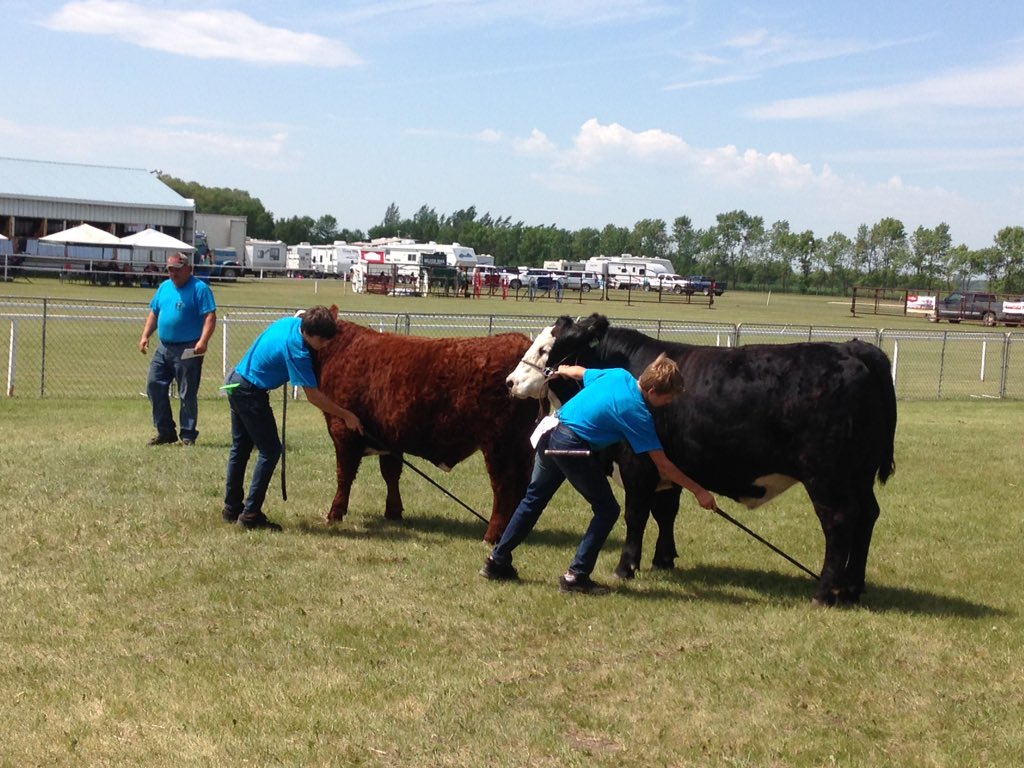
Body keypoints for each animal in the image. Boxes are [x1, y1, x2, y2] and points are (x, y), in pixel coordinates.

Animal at [316, 313, 538, 543]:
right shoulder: (390, 441)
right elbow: (391, 474)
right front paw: (393, 513)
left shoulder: (343, 431)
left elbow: (344, 475)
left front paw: (335, 513)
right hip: (522, 446)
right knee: (523, 484)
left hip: (498, 445)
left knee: (503, 486)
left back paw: (493, 535)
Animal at [505, 313, 897, 606]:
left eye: (545, 348)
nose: (510, 381)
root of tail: (853, 348)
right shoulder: (666, 468)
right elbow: (666, 512)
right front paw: (663, 560)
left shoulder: (637, 466)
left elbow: (636, 516)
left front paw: (625, 566)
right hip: (858, 475)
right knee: (867, 516)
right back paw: (852, 587)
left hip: (827, 477)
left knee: (839, 522)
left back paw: (825, 592)